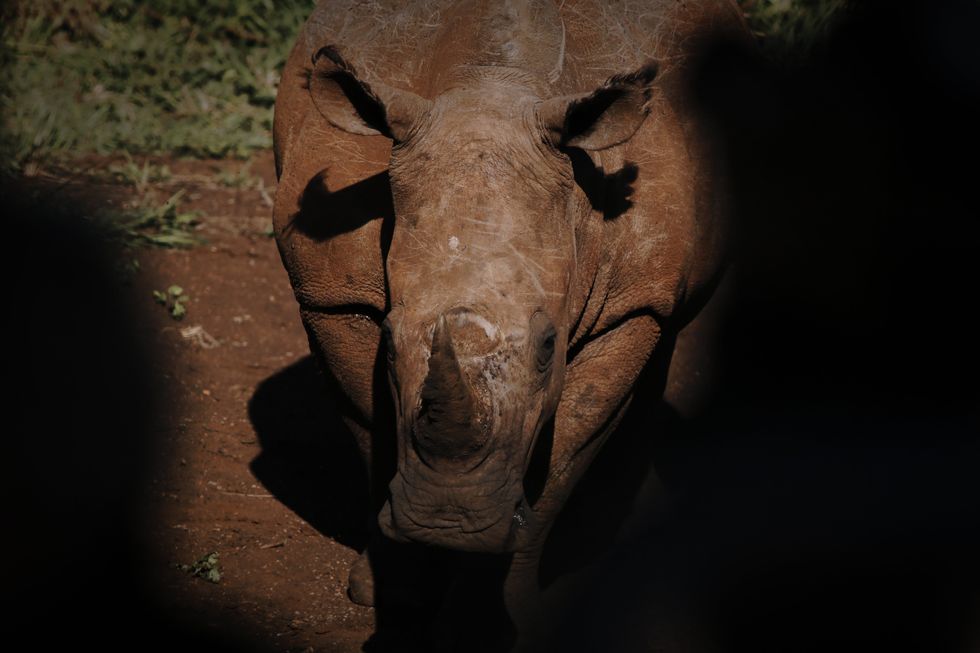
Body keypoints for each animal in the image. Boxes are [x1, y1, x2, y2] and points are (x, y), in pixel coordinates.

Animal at [273, 0, 746, 640]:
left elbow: (564, 453)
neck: (490, 87)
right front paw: (391, 592)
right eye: (389, 341)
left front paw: (487, 621)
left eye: (549, 345)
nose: (447, 521)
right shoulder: (330, 292)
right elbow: (371, 428)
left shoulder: (632, 304)